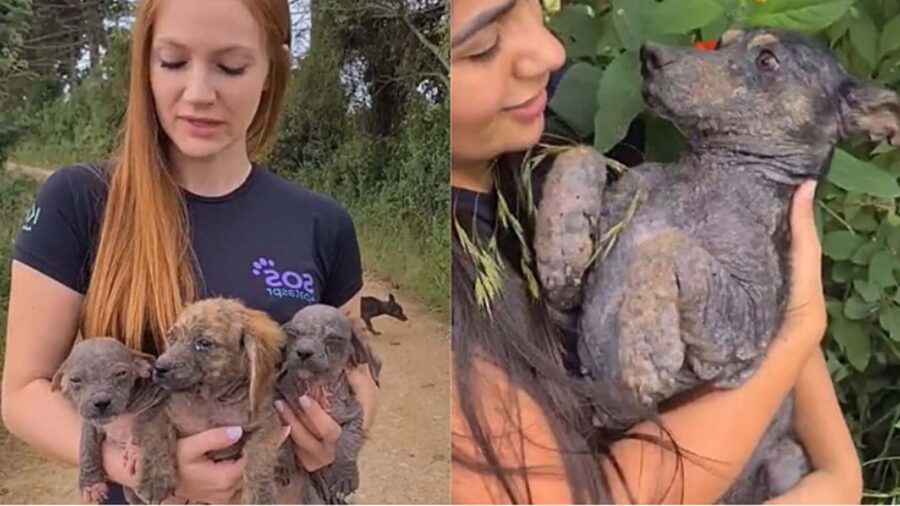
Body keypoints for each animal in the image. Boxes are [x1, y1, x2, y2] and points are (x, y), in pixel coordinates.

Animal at [50, 338, 166, 504]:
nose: (101, 401)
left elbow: (149, 426)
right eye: (75, 380)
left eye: (121, 373)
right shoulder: (91, 422)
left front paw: (136, 453)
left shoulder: (160, 401)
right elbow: (87, 444)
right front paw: (91, 483)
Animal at [134, 298, 286, 504]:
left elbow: (259, 455)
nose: (158, 368)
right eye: (171, 338)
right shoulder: (157, 411)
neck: (210, 399)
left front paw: (260, 497)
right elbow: (156, 438)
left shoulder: (267, 423)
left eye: (203, 343)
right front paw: (155, 480)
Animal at [278, 302, 384, 504]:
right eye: (293, 334)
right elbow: (280, 431)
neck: (316, 390)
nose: (303, 352)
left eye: (333, 338)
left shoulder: (355, 413)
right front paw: (282, 461)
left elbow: (349, 441)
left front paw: (345, 476)